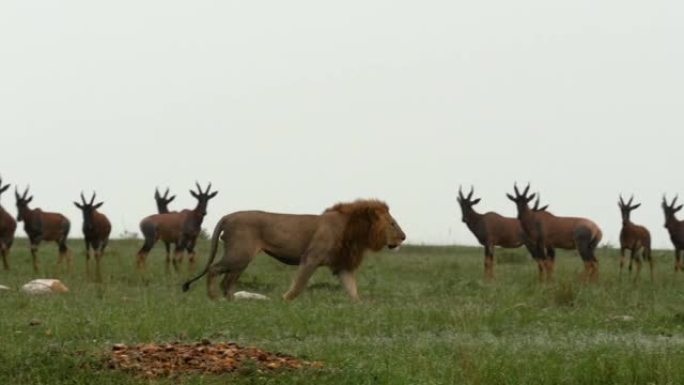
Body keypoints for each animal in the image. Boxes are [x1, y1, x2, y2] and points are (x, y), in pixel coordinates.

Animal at [182, 200, 406, 302]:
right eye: (392, 224)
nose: (403, 237)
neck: (354, 232)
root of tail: (228, 216)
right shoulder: (311, 258)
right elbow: (299, 285)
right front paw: (284, 301)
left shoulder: (342, 266)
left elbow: (353, 290)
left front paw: (361, 306)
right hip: (239, 255)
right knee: (214, 270)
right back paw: (214, 299)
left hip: (241, 259)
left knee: (227, 282)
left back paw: (233, 302)